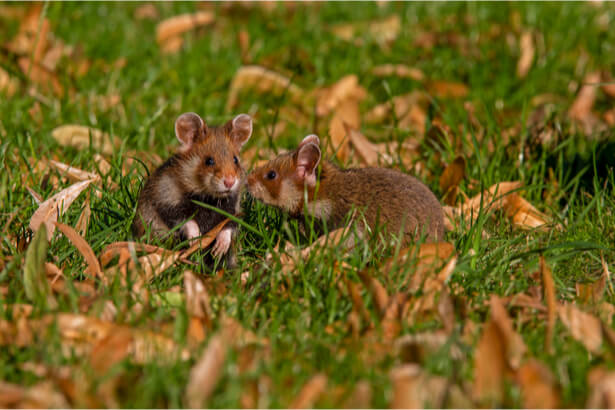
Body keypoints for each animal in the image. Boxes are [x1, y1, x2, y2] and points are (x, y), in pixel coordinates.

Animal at [132, 110, 253, 262]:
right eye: (209, 161)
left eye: (235, 159)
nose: (230, 182)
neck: (210, 199)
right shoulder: (166, 203)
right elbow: (187, 221)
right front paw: (197, 241)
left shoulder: (233, 210)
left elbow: (228, 227)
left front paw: (218, 250)